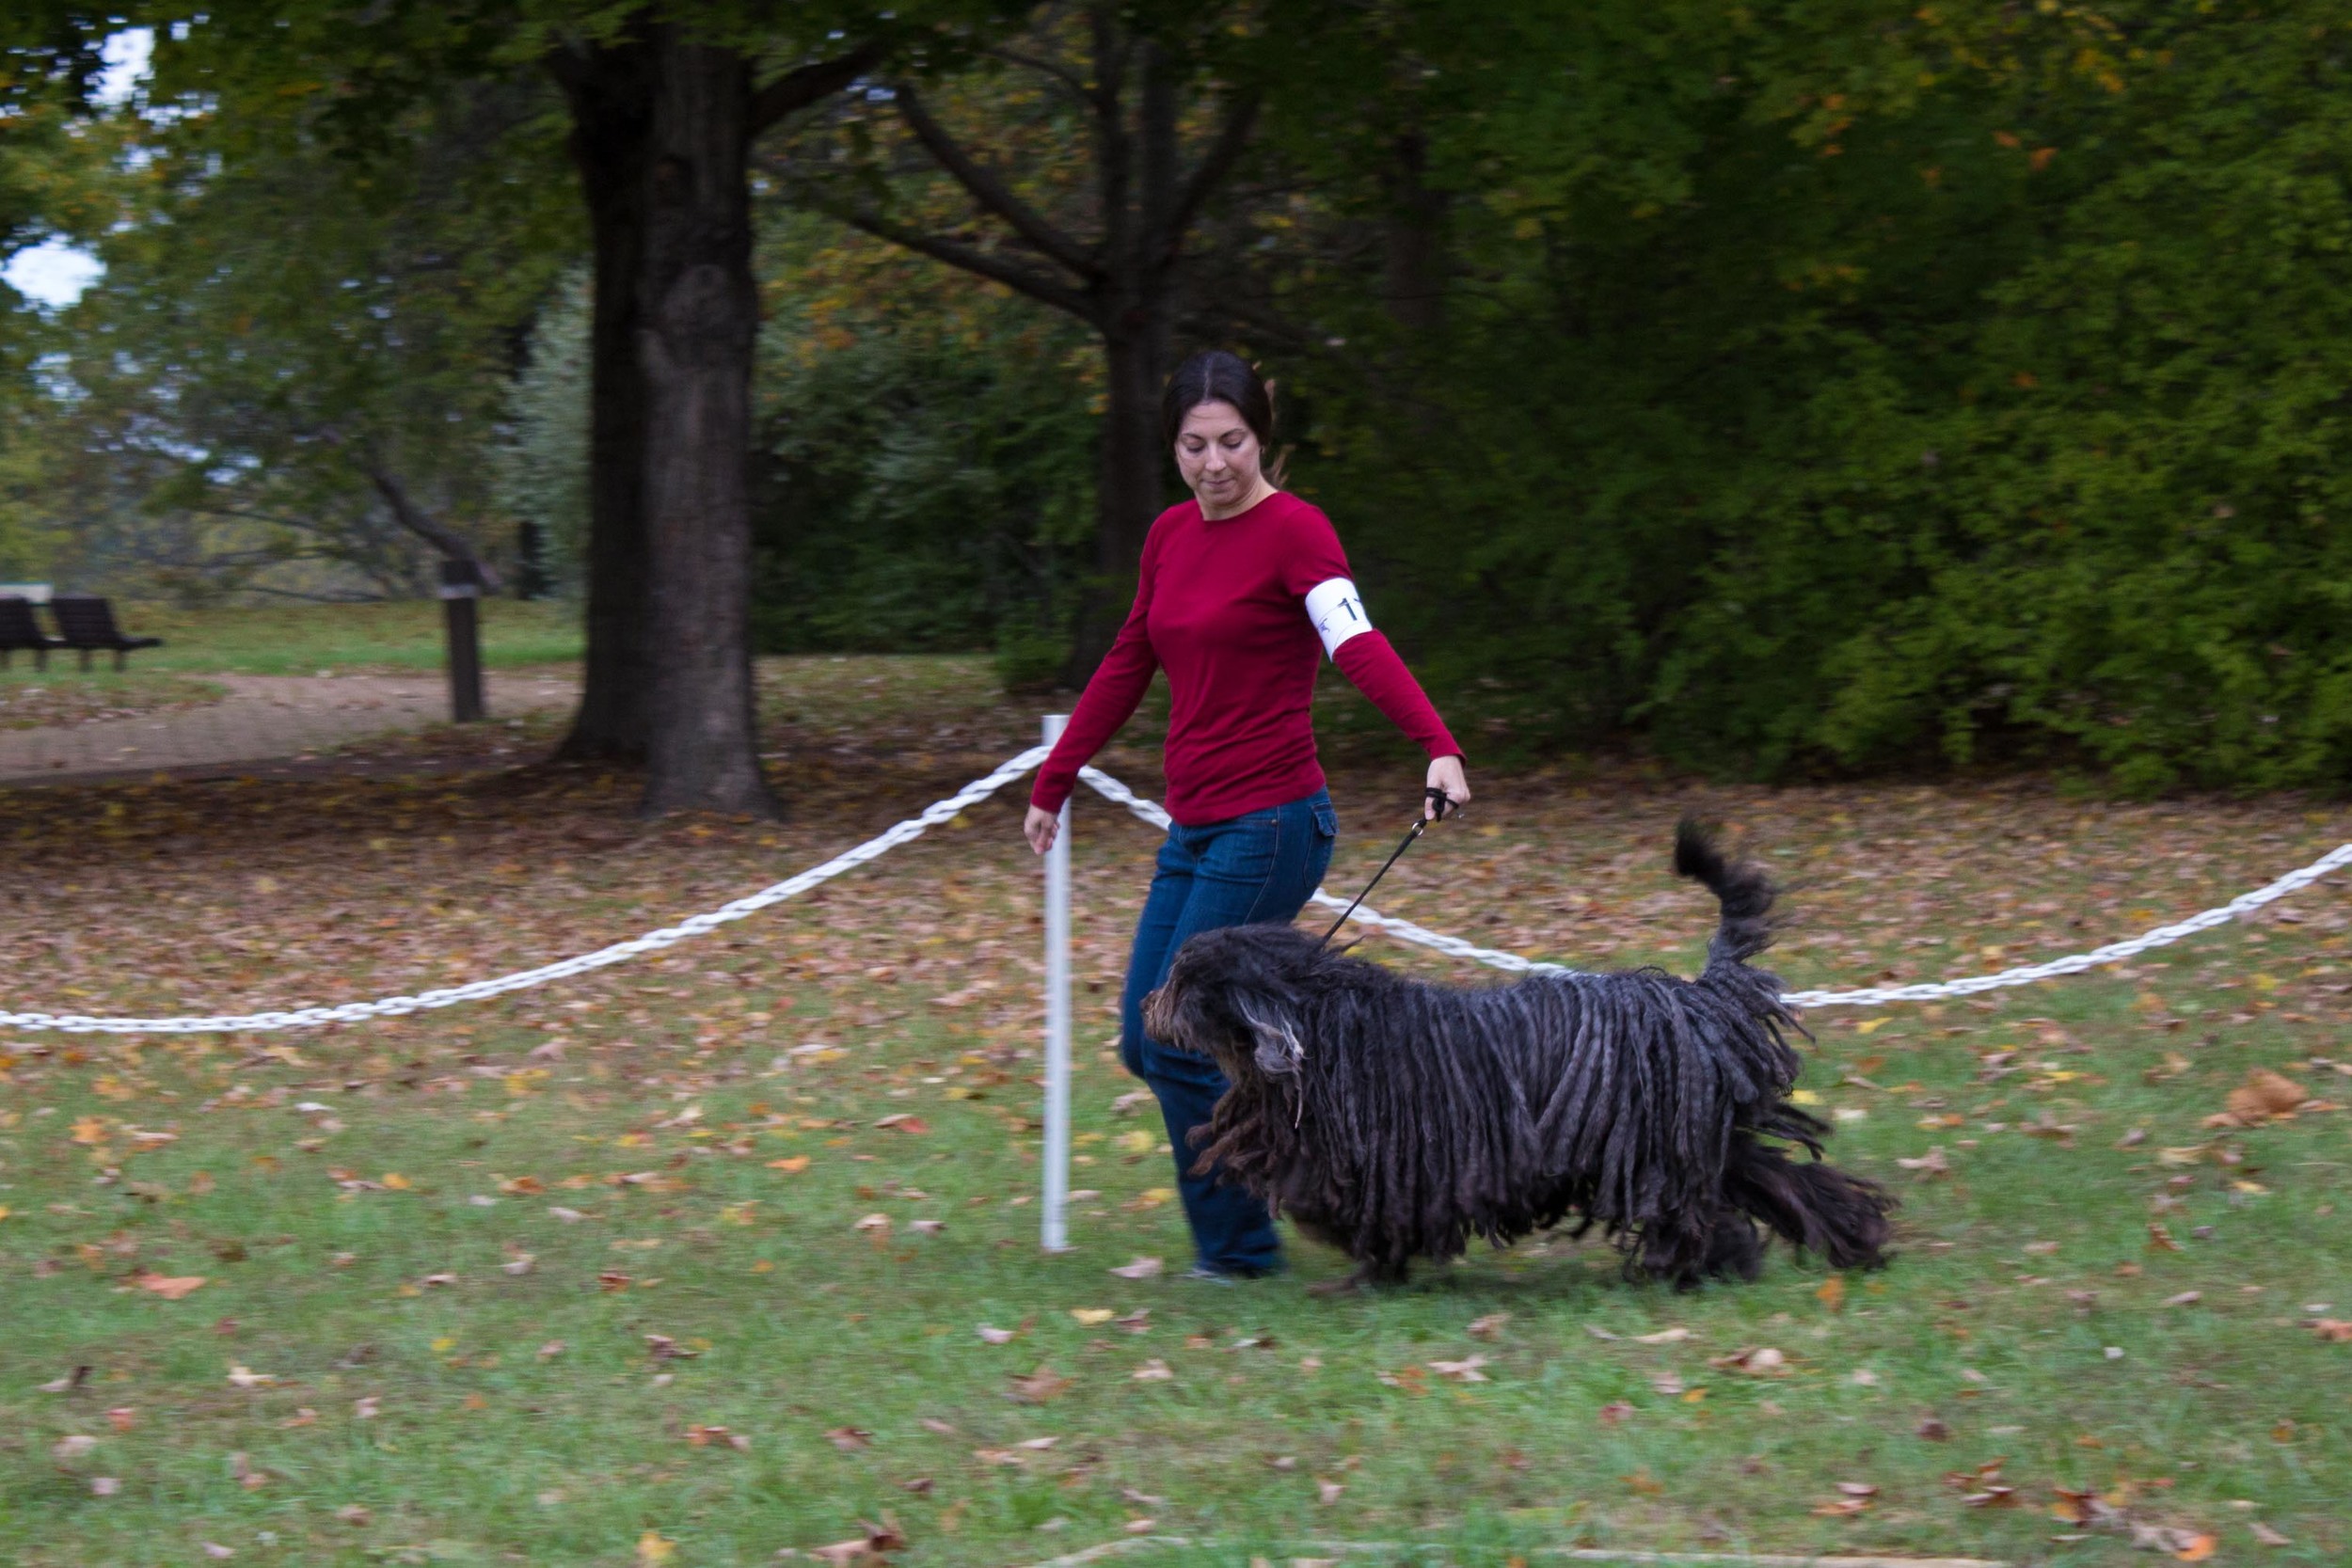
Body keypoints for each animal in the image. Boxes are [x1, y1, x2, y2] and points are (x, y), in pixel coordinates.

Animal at [1138, 822, 1891, 1288]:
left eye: (1182, 982)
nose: (1146, 1004)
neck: (1324, 1025)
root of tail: (1695, 994)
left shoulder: (1392, 1163)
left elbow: (1373, 1220)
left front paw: (1361, 1273)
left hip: (1661, 1147)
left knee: (1705, 1210)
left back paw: (1697, 1267)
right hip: (1705, 1138)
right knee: (1785, 1184)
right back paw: (1847, 1242)